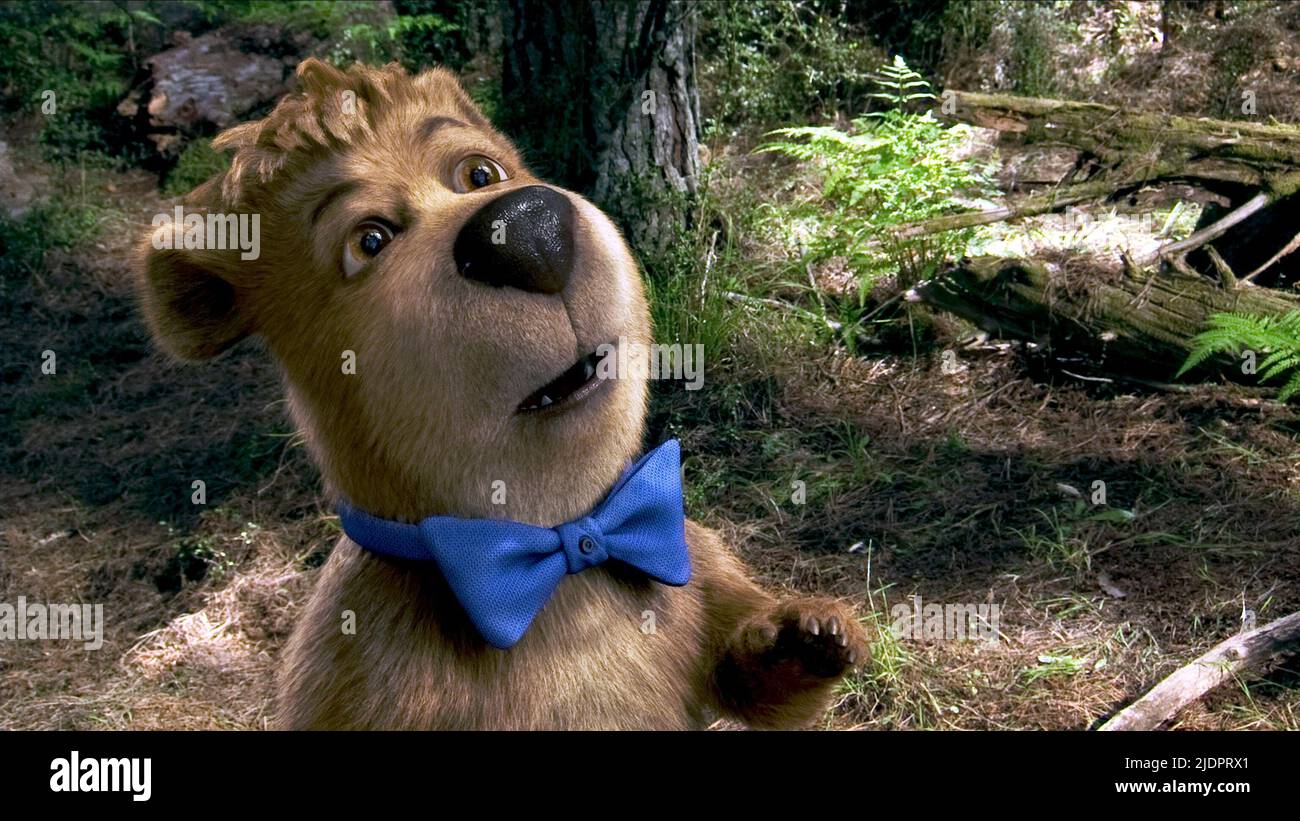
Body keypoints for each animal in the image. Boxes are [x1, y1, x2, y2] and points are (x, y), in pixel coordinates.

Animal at [136, 58, 868, 729]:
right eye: (370, 240)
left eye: (480, 174)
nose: (525, 229)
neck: (560, 551)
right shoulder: (348, 660)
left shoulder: (699, 559)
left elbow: (756, 685)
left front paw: (810, 632)